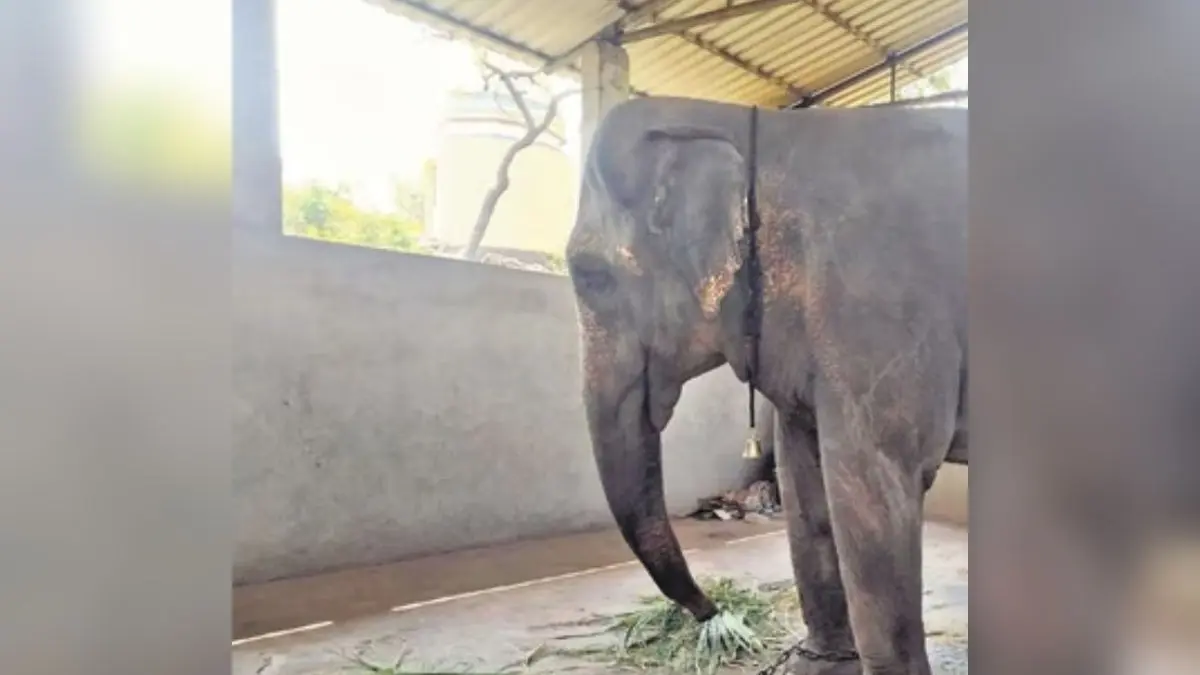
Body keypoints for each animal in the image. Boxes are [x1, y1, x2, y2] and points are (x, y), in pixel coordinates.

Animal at [565, 96, 967, 675]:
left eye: (591, 276)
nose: (713, 610)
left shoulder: (879, 310)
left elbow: (878, 481)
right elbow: (802, 479)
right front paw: (817, 663)